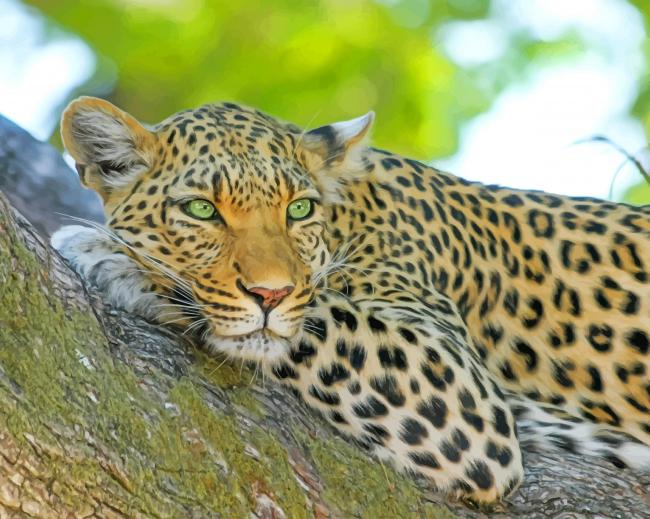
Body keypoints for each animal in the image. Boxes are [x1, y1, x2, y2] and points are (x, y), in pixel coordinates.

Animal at [51, 96, 650, 503]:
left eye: (298, 210)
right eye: (201, 210)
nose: (270, 293)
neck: (349, 217)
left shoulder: (462, 392)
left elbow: (319, 317)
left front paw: (114, 256)